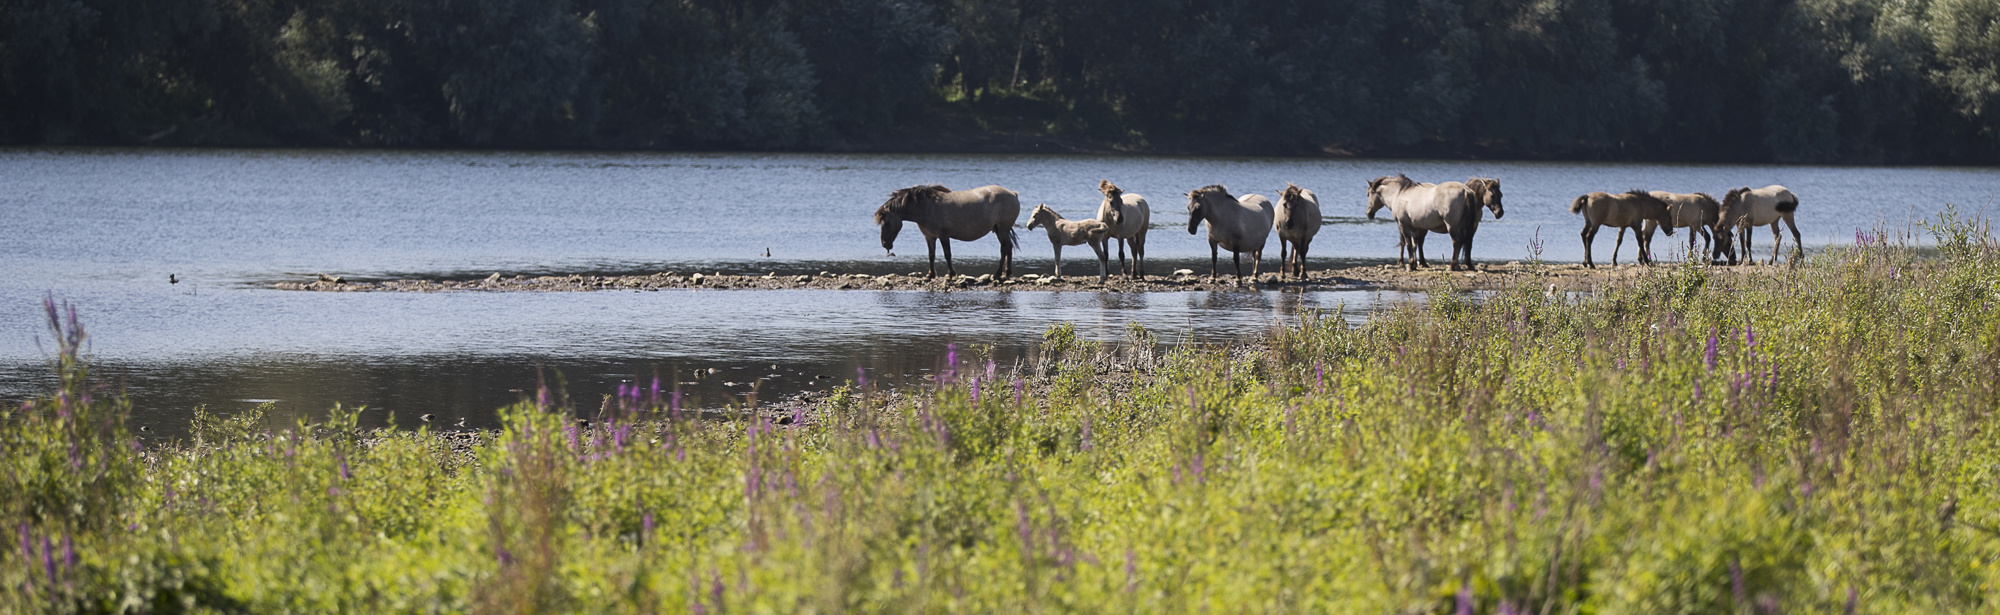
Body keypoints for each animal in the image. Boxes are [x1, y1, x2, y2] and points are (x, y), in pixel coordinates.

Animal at [876, 183, 1024, 277]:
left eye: (887, 222)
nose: (885, 244)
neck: (925, 206)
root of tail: (1013, 194)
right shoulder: (929, 237)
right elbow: (931, 255)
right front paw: (930, 275)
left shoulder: (943, 236)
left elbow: (947, 254)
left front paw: (951, 274)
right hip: (1000, 230)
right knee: (1008, 247)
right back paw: (1007, 272)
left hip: (1003, 229)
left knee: (1004, 248)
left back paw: (998, 273)